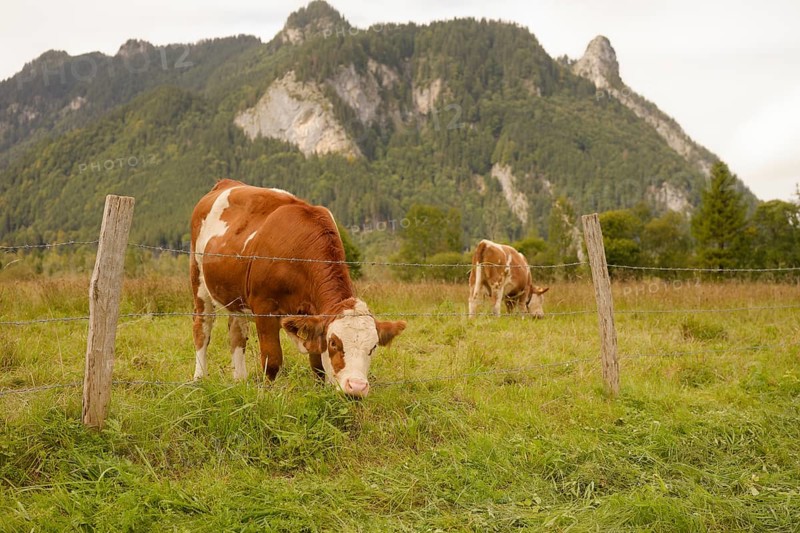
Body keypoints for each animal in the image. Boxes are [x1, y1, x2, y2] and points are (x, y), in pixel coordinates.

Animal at [190, 179, 406, 397]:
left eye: (373, 347)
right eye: (334, 343)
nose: (357, 388)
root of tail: (226, 183)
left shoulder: (313, 316)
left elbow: (317, 363)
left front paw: (320, 392)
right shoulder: (264, 307)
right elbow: (272, 360)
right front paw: (267, 395)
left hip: (236, 298)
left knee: (237, 333)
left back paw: (240, 380)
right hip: (198, 278)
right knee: (202, 328)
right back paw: (199, 379)